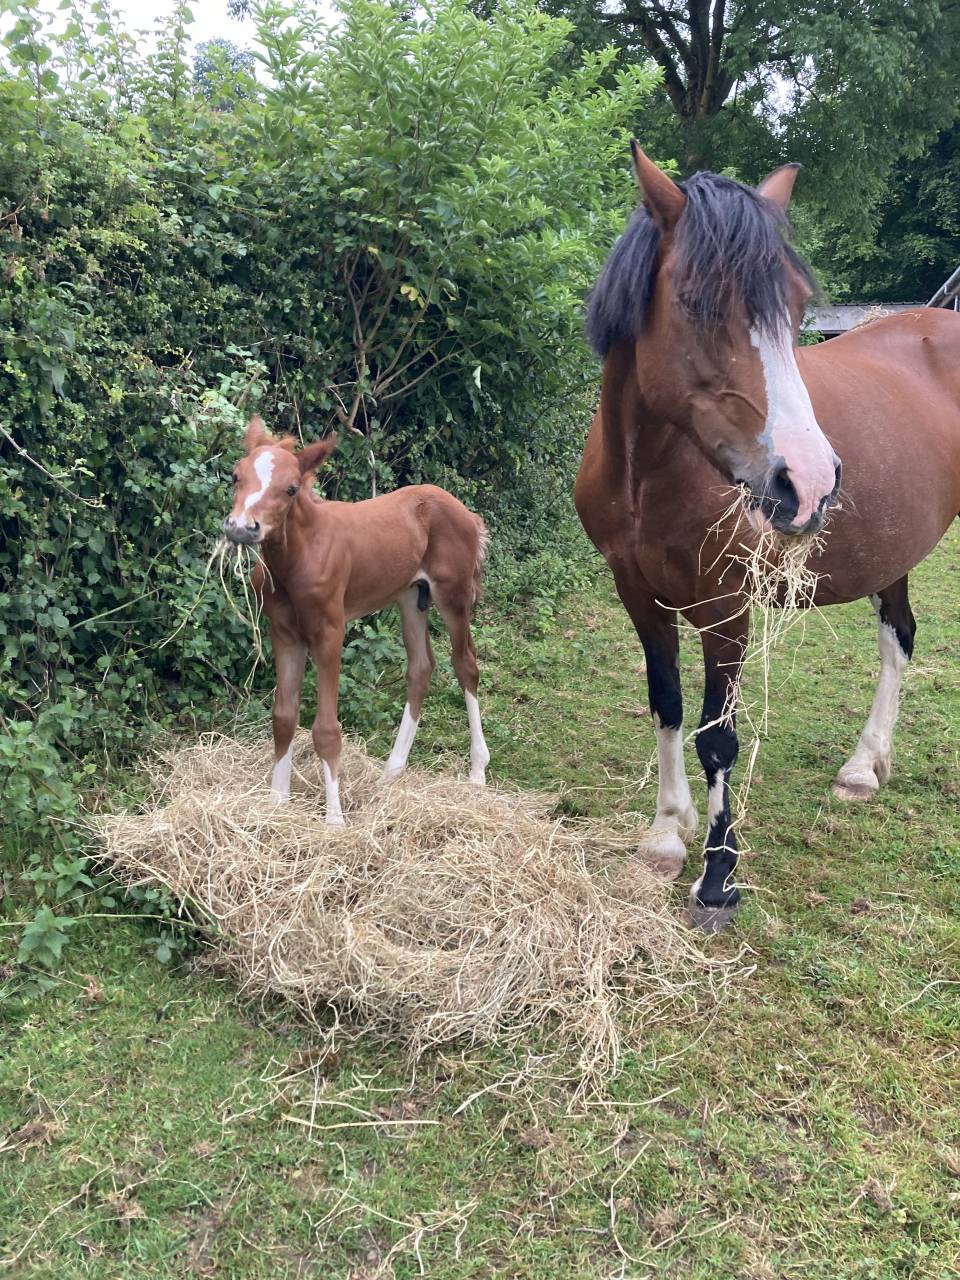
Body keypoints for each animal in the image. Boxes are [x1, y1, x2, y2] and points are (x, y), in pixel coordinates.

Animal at [223, 416, 490, 823]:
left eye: (290, 489)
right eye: (236, 476)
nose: (241, 527)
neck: (300, 557)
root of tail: (468, 514)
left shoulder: (329, 632)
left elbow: (326, 728)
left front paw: (334, 820)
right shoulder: (284, 633)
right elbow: (283, 716)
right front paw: (276, 802)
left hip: (453, 594)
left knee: (465, 665)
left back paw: (477, 770)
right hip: (410, 596)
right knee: (421, 666)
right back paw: (391, 773)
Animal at [575, 143, 960, 932]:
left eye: (798, 309)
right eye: (695, 302)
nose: (809, 483)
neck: (647, 474)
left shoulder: (726, 607)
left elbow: (718, 737)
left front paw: (718, 880)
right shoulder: (639, 595)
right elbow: (668, 707)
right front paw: (666, 835)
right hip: (896, 553)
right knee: (899, 636)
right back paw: (863, 768)